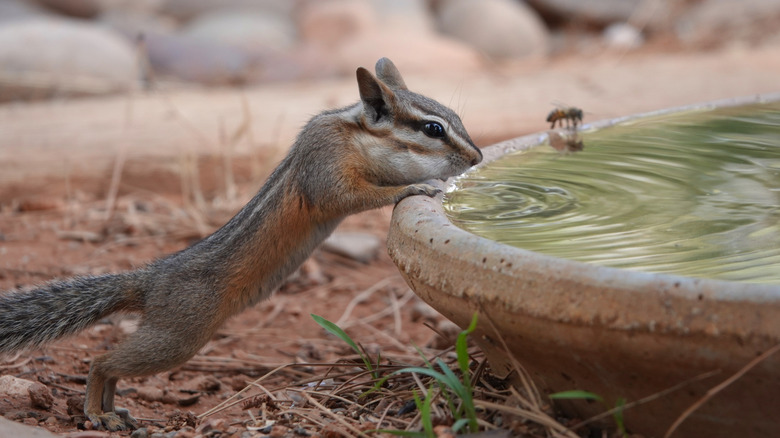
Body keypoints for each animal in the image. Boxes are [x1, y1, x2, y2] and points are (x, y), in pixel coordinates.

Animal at [0, 58, 482, 431]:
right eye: (433, 129)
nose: (477, 157)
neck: (355, 133)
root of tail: (151, 279)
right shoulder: (326, 166)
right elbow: (349, 197)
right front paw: (418, 185)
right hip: (178, 336)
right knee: (103, 360)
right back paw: (96, 411)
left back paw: (113, 410)